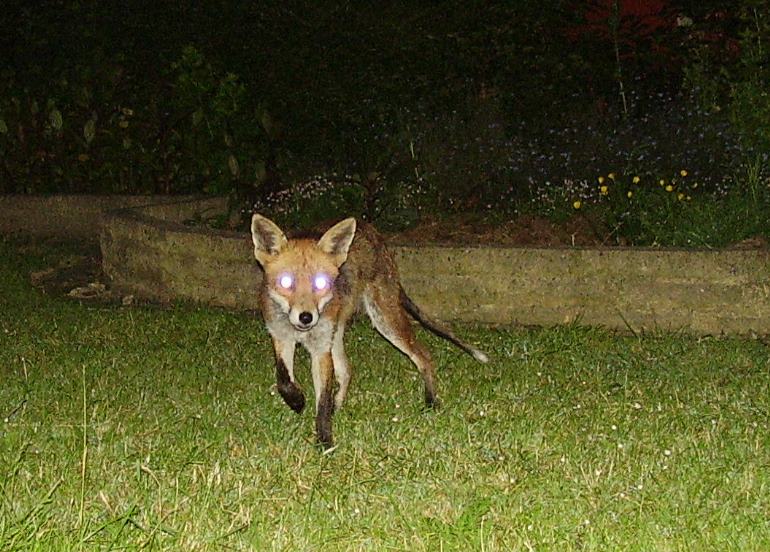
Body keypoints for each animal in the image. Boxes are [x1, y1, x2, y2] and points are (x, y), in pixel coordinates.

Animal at [250, 214, 489, 448]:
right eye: (286, 282)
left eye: (320, 283)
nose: (306, 317)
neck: (299, 331)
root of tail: (374, 233)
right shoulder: (281, 337)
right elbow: (283, 379)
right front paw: (297, 400)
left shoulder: (320, 349)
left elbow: (322, 400)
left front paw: (325, 442)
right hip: (337, 332)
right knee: (347, 370)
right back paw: (338, 406)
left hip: (384, 320)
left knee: (424, 355)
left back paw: (431, 402)